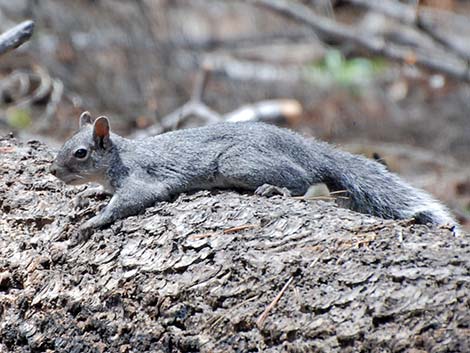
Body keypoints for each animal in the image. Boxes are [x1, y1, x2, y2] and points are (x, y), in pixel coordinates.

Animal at [51, 111, 458, 235]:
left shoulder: (143, 178)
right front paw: (91, 196)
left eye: (81, 153)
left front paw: (92, 222)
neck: (121, 156)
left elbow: (132, 200)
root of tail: (305, 147)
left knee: (302, 181)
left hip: (239, 162)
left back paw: (276, 191)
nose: (54, 171)